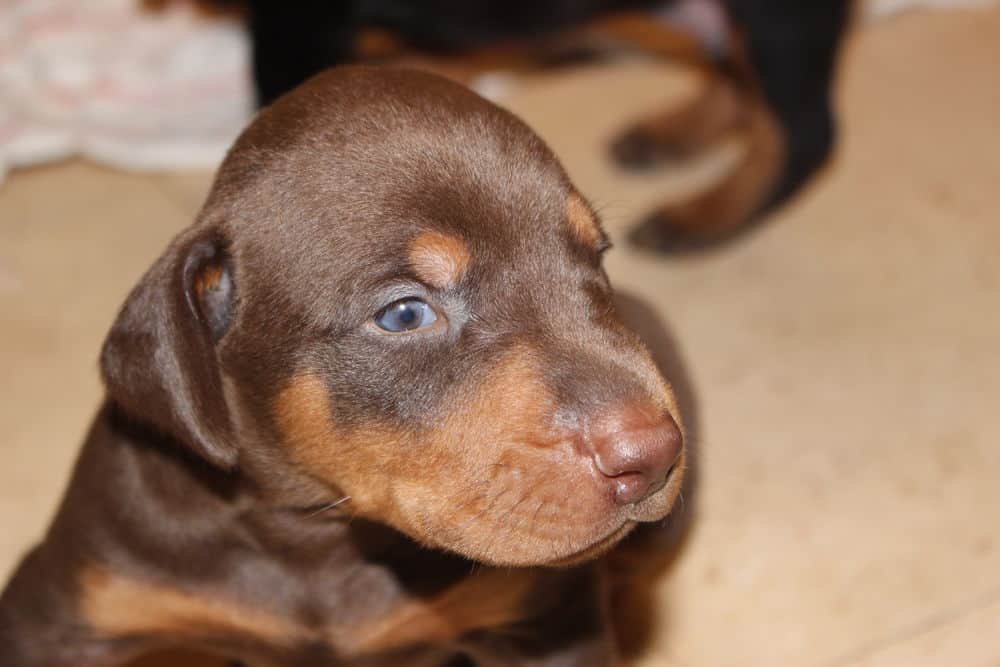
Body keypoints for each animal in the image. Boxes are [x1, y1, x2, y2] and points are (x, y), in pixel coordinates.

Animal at [0, 65, 688, 664]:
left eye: (596, 258)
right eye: (404, 314)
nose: (654, 454)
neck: (316, 536)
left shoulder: (545, 618)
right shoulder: (67, 608)